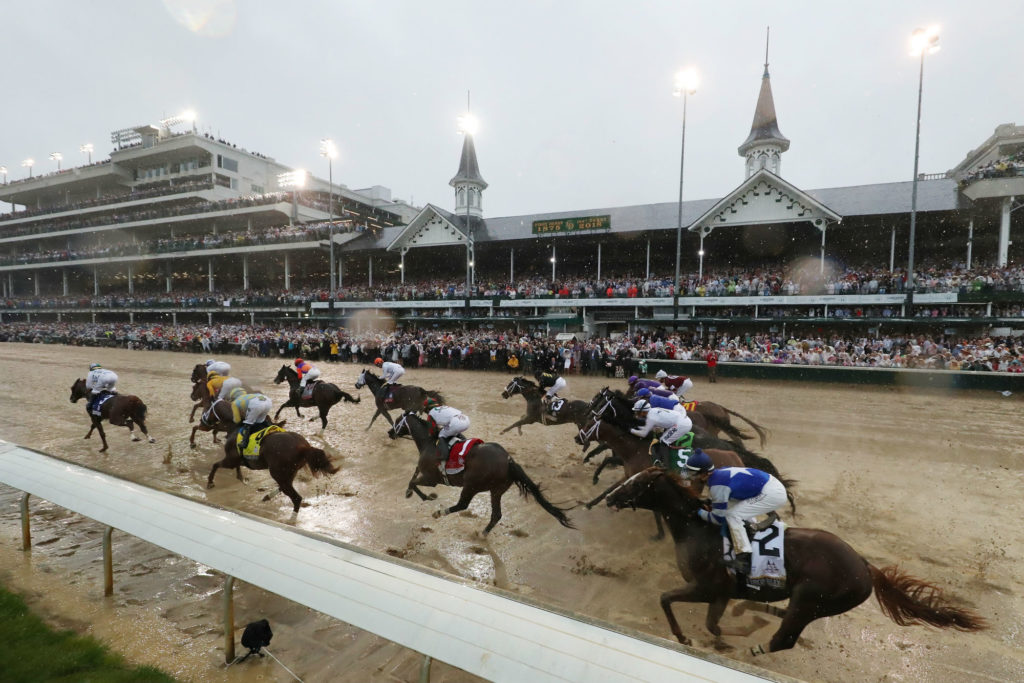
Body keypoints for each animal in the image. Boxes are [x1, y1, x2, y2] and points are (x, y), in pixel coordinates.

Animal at [205, 430, 337, 509]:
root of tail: (304, 447)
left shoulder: (231, 460)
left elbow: (215, 465)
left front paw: (210, 482)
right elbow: (236, 469)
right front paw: (241, 478)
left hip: (278, 473)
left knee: (296, 497)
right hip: (288, 473)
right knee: (285, 488)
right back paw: (267, 497)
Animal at [385, 411, 573, 532]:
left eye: (397, 420)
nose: (389, 432)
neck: (429, 442)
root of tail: (508, 460)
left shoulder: (432, 479)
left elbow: (414, 482)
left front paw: (424, 496)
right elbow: (414, 475)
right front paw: (410, 492)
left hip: (471, 485)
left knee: (463, 505)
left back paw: (439, 513)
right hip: (496, 490)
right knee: (496, 515)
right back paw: (482, 535)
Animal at [602, 466, 987, 655]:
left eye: (635, 483)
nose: (608, 497)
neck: (697, 530)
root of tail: (865, 565)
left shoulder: (705, 587)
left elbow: (666, 599)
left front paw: (685, 637)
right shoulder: (721, 593)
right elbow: (713, 625)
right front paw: (730, 632)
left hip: (810, 598)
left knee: (783, 639)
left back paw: (754, 649)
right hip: (812, 604)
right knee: (783, 625)